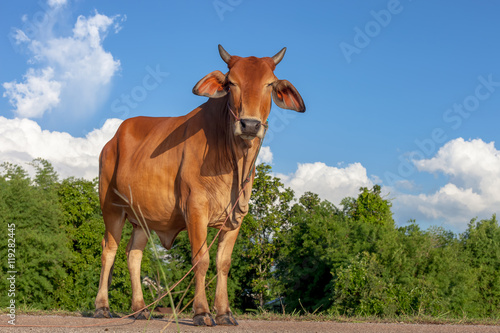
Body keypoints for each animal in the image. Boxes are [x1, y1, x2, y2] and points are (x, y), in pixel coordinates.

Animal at [94, 44, 304, 324]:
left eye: (269, 84)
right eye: (231, 83)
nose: (249, 124)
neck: (234, 160)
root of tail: (112, 141)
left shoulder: (236, 217)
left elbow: (223, 264)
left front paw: (224, 312)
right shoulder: (195, 208)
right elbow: (201, 260)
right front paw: (202, 312)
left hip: (142, 219)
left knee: (133, 254)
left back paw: (140, 309)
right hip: (111, 208)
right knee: (109, 250)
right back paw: (102, 307)